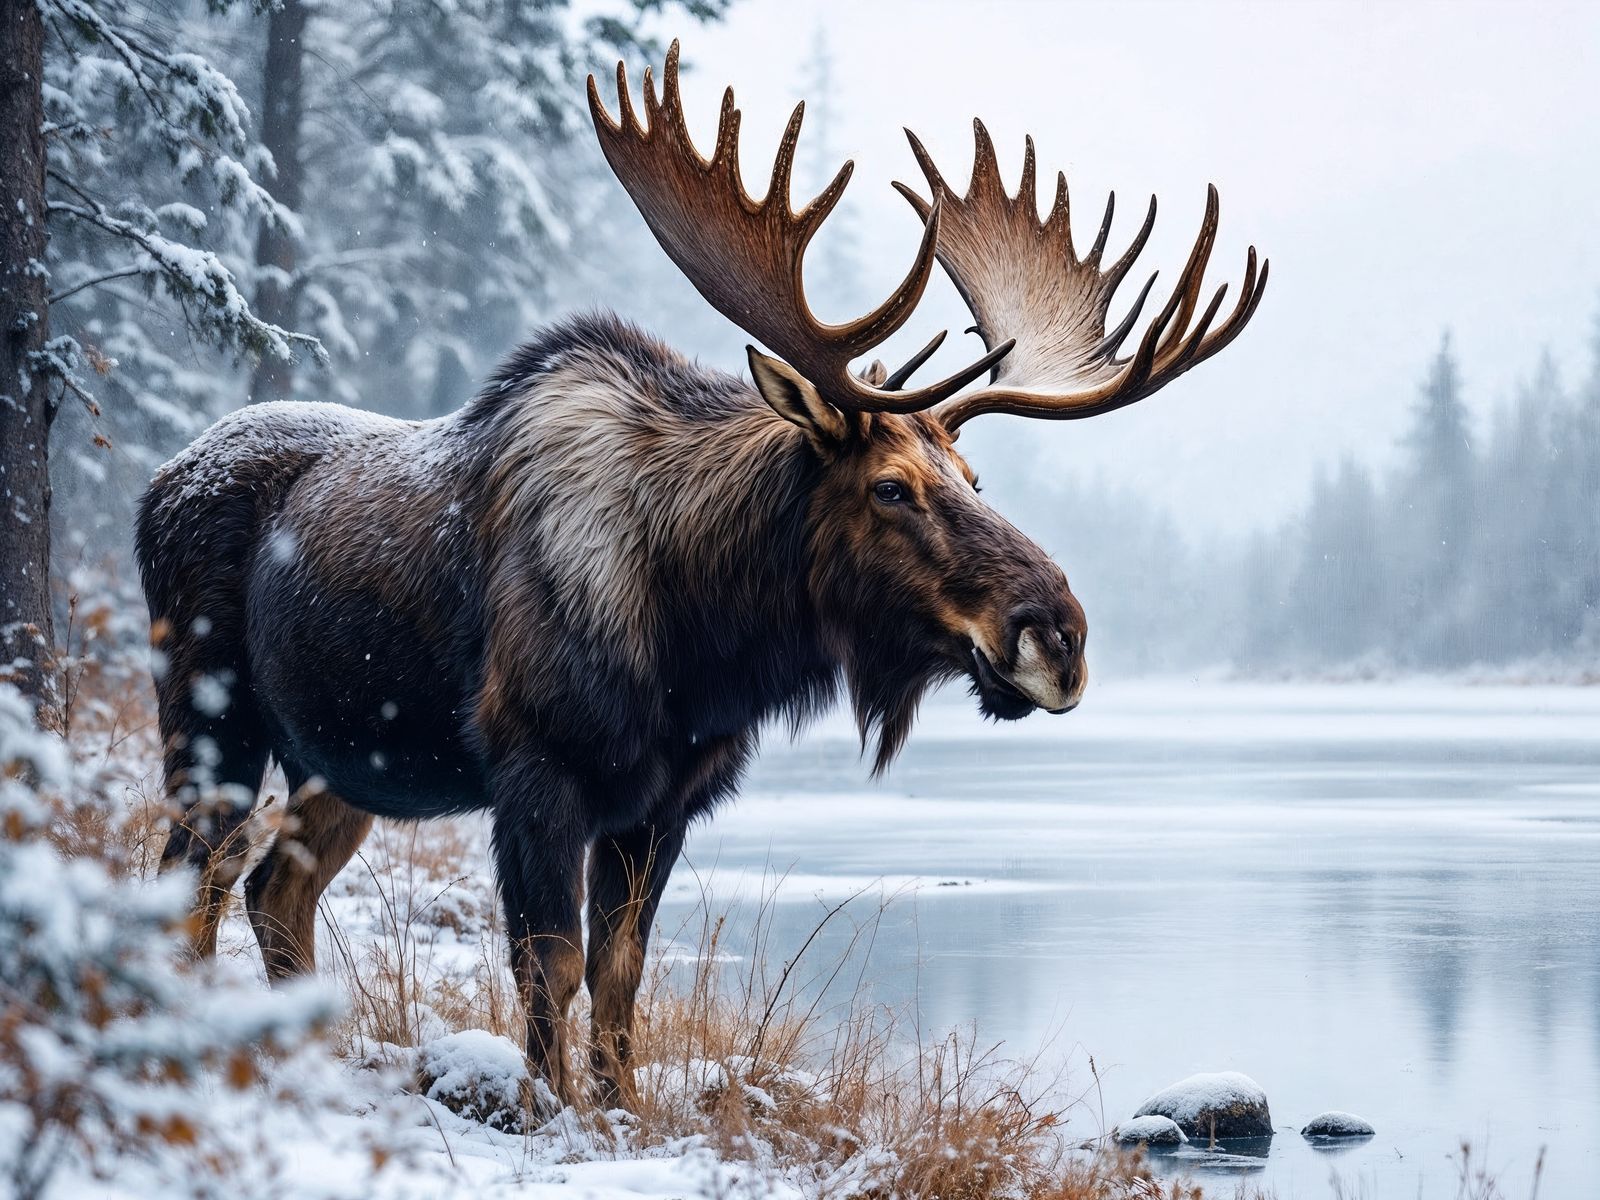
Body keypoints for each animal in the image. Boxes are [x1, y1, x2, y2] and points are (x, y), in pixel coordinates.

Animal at [137, 41, 1267, 1109]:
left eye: (974, 476)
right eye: (890, 487)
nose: (1059, 635)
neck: (703, 641)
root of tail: (152, 489)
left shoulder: (666, 799)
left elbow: (620, 973)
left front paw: (620, 1105)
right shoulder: (536, 770)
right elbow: (548, 966)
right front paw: (552, 1109)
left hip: (338, 762)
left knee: (273, 891)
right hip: (211, 716)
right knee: (190, 880)